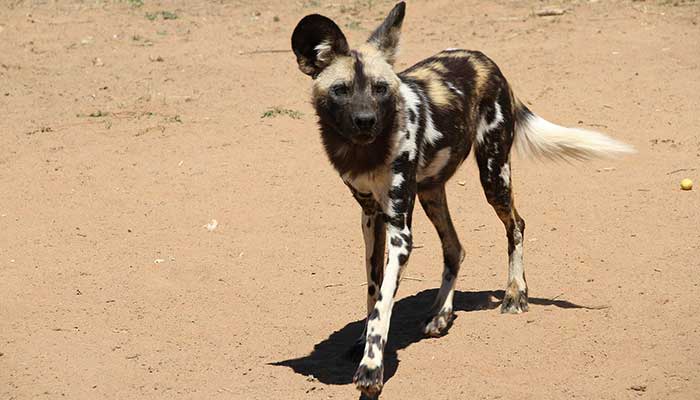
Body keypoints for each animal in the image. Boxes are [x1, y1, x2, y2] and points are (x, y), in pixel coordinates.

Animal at [290, 1, 636, 396]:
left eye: (380, 89)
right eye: (341, 90)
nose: (366, 120)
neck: (365, 152)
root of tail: (485, 60)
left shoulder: (399, 230)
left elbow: (383, 306)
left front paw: (371, 370)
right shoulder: (371, 217)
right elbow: (374, 290)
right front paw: (363, 342)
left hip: (493, 175)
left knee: (516, 224)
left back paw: (515, 294)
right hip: (431, 191)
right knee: (455, 247)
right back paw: (442, 314)